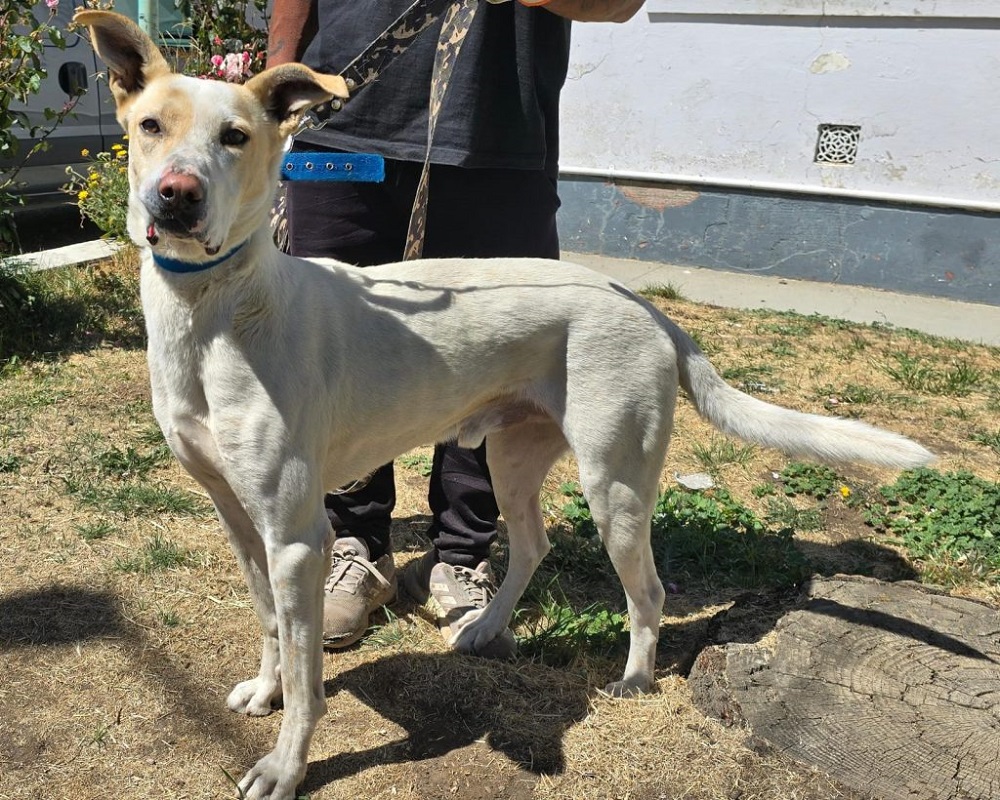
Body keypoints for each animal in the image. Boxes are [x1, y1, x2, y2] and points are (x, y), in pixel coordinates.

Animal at [76, 12, 928, 800]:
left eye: (236, 137)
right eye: (150, 126)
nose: (176, 197)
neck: (219, 307)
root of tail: (643, 304)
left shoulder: (294, 535)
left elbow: (309, 671)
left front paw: (286, 765)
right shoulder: (241, 519)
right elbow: (268, 624)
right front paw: (266, 688)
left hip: (614, 483)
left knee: (647, 591)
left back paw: (632, 678)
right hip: (512, 456)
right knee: (534, 545)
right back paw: (486, 625)